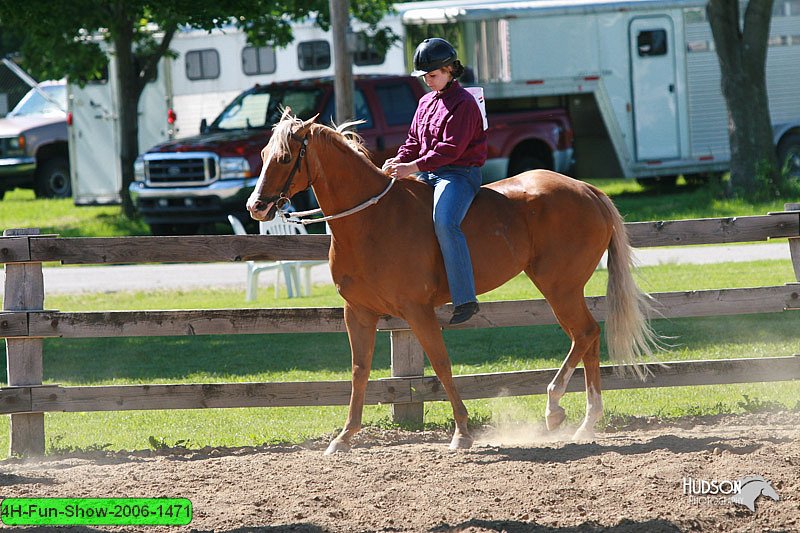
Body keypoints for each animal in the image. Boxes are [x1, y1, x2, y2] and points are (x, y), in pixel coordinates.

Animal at [248, 112, 656, 454]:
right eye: (264, 153)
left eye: (284, 158)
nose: (256, 206)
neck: (372, 220)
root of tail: (588, 191)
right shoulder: (358, 312)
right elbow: (359, 371)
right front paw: (344, 438)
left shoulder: (417, 310)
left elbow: (441, 364)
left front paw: (462, 433)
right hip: (562, 289)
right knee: (586, 338)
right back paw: (585, 421)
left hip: (560, 288)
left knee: (585, 334)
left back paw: (558, 409)